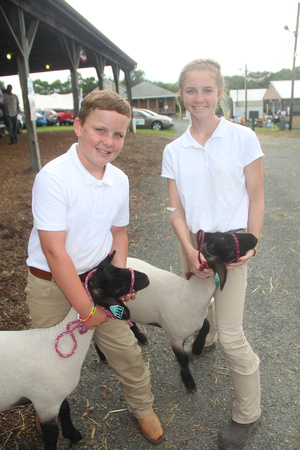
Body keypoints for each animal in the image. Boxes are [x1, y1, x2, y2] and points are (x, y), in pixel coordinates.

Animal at [0, 253, 150, 450]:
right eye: (117, 286)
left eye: (118, 268)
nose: (146, 278)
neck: (58, 343)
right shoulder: (45, 403)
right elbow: (51, 435)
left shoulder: (57, 396)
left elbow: (65, 409)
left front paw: (73, 434)